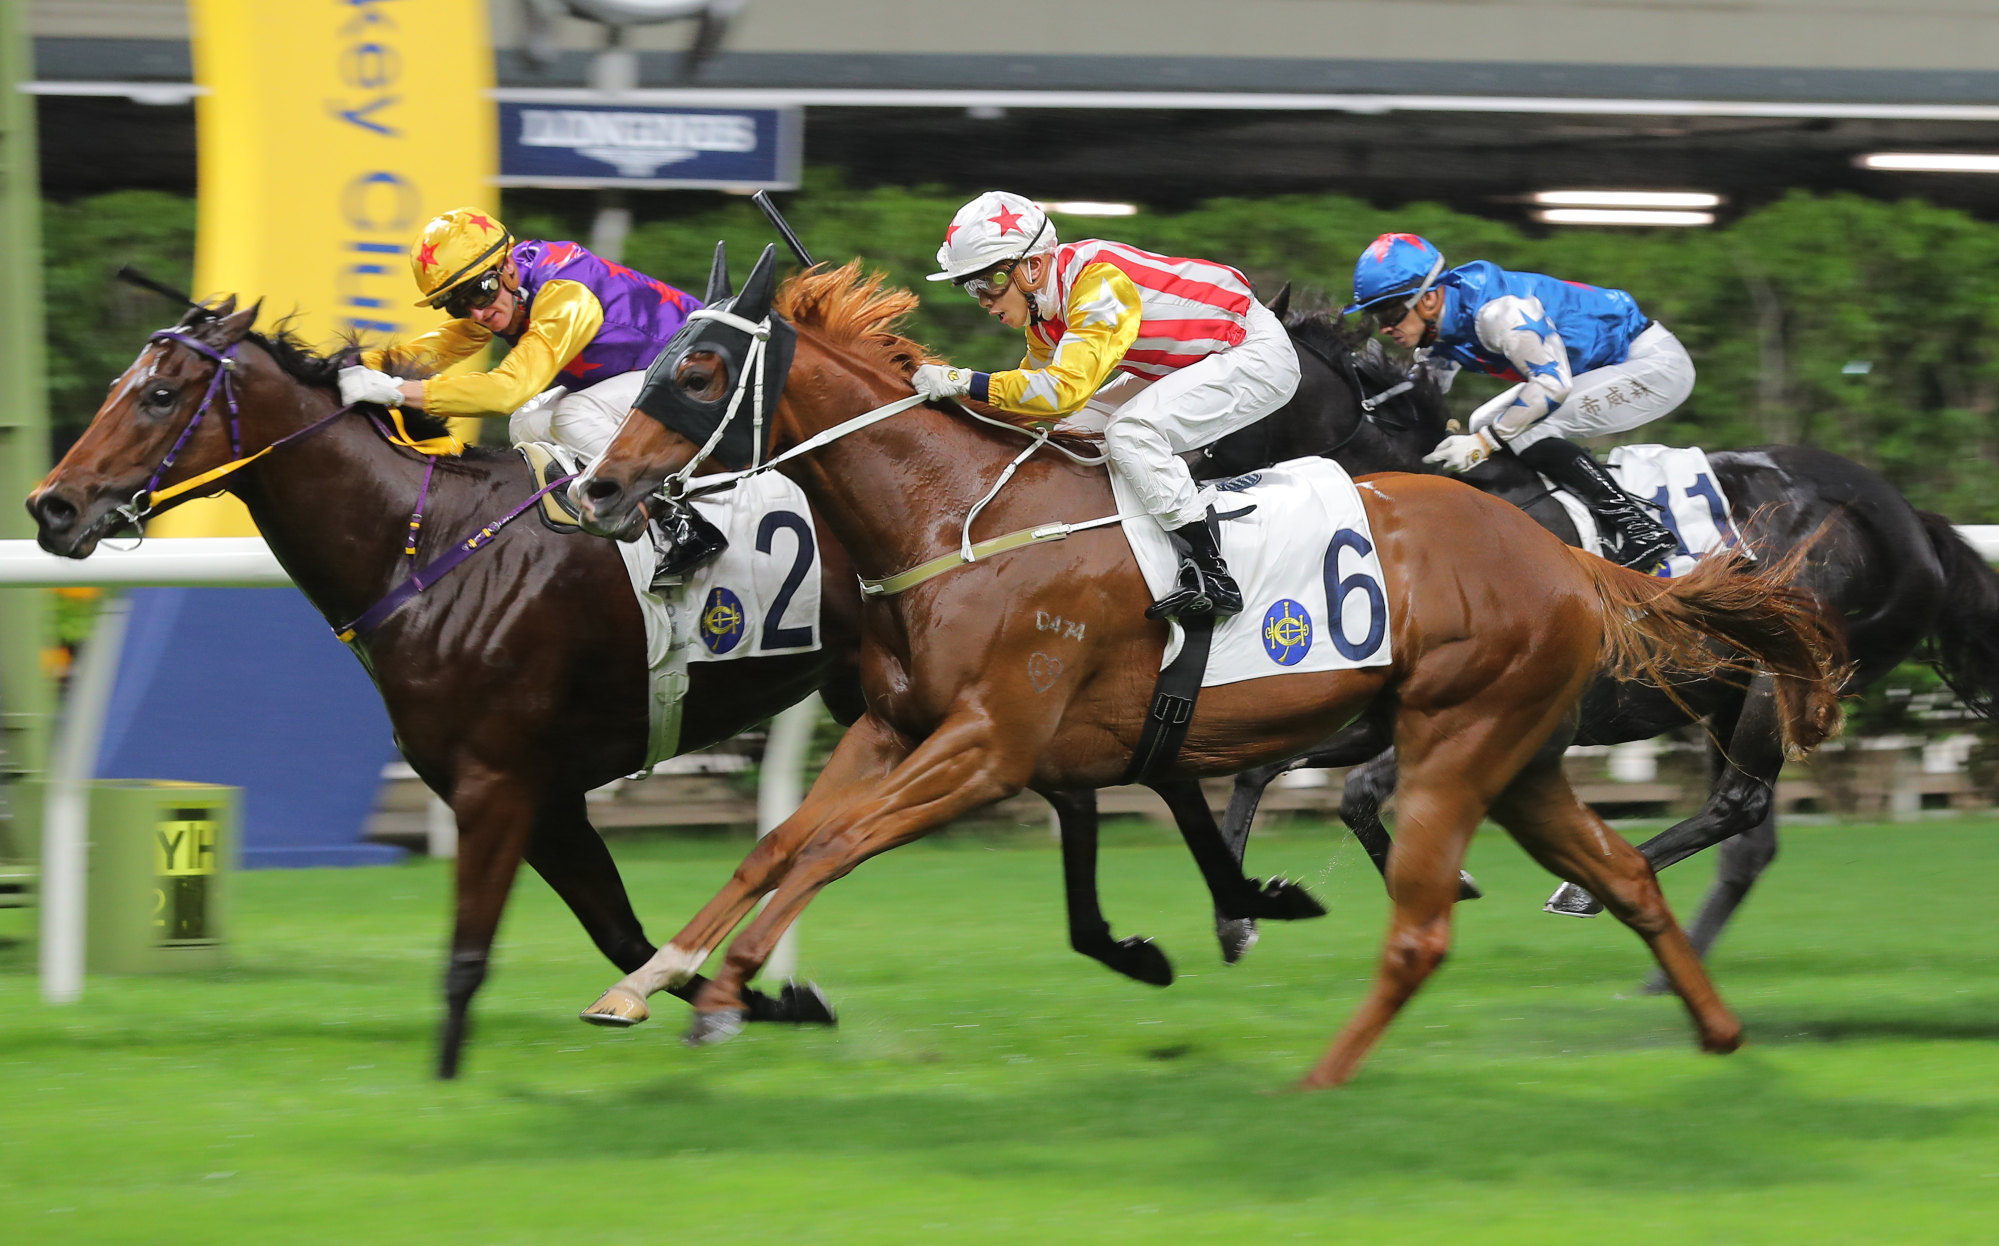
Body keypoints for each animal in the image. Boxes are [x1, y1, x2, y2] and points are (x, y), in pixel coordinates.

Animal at [27, 298, 1311, 1080]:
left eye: (155, 396)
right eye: (121, 383)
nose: (51, 504)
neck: (426, 548)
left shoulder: (502, 782)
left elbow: (474, 951)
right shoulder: (542, 795)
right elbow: (621, 928)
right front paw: (754, 994)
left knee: (1097, 780)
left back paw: (1219, 904)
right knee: (1089, 785)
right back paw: (1188, 918)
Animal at [563, 266, 1839, 1088]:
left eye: (700, 368)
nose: (598, 490)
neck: (957, 517)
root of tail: (1565, 555)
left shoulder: (989, 748)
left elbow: (831, 845)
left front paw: (728, 995)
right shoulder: (897, 727)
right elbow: (781, 842)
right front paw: (655, 978)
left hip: (1458, 742)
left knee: (1448, 909)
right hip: (1520, 757)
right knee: (1621, 874)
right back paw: (1717, 1036)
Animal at [1183, 300, 1999, 976]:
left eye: (1212, 386)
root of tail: (1912, 520)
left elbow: (1358, 791)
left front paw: (1446, 884)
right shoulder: (1383, 714)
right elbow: (1267, 772)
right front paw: (1236, 920)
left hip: (1782, 674)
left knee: (1742, 805)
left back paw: (1587, 892)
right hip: (1722, 696)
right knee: (1748, 832)